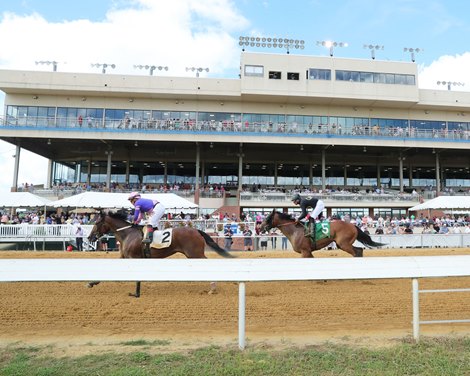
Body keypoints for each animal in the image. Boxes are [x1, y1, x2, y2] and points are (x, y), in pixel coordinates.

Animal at [87, 210, 234, 296]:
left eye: (97, 222)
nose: (89, 237)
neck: (127, 234)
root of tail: (196, 230)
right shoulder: (125, 257)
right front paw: (91, 283)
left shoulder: (134, 257)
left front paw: (136, 294)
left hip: (194, 254)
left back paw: (213, 287)